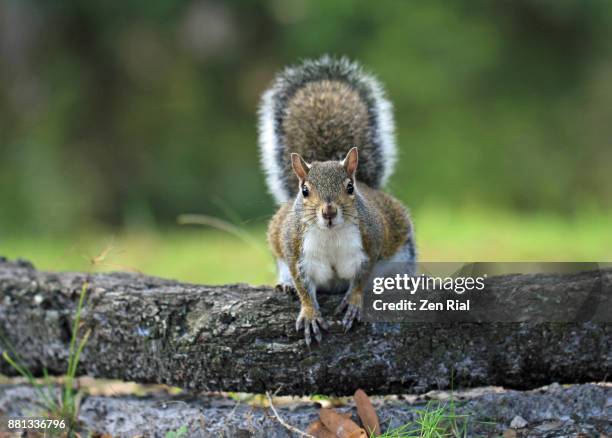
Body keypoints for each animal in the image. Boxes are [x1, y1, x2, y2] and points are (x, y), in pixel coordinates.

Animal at [258, 54, 416, 344]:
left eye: (350, 188)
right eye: (304, 190)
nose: (329, 212)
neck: (330, 235)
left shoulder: (370, 243)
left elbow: (361, 280)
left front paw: (353, 303)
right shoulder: (296, 252)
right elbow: (303, 287)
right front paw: (309, 313)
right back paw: (284, 285)